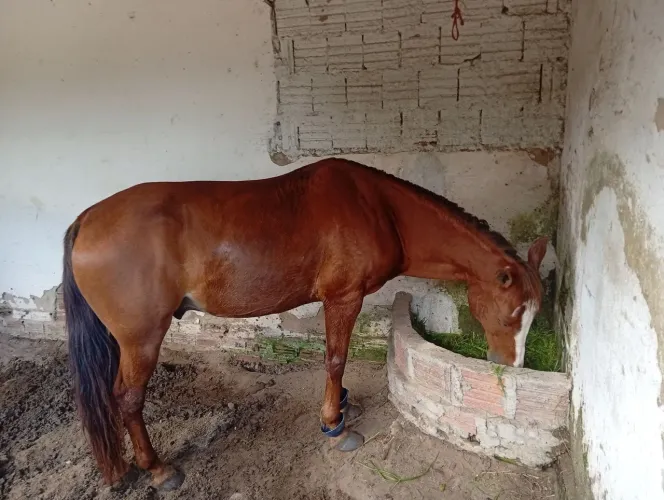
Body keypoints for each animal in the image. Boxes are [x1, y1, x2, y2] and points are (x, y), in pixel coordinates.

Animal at [62, 157, 548, 490]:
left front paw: (344, 405)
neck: (379, 208)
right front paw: (335, 425)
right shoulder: (344, 298)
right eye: (511, 314)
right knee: (128, 399)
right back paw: (159, 470)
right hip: (142, 338)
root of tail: (87, 219)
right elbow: (335, 359)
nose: (511, 366)